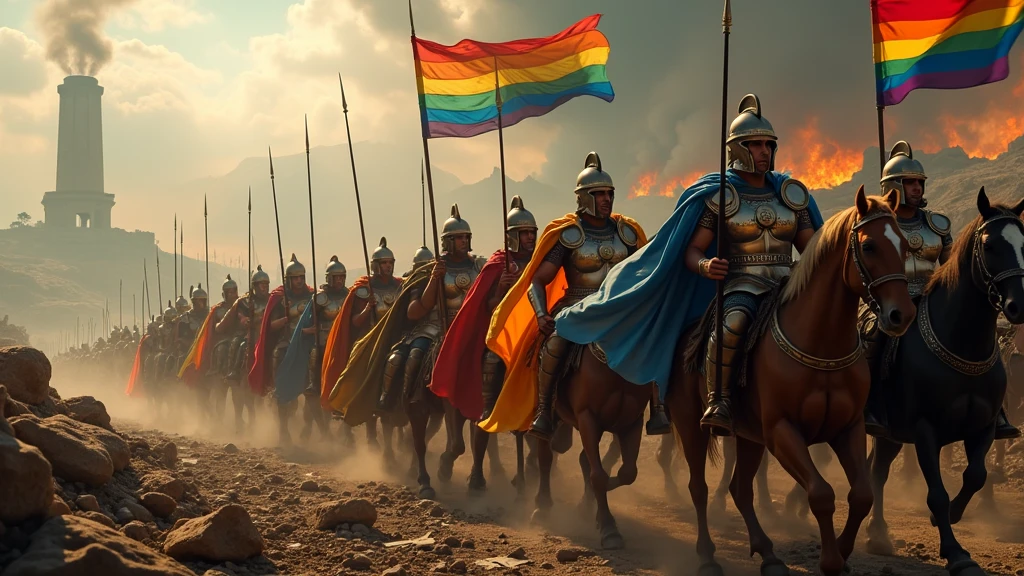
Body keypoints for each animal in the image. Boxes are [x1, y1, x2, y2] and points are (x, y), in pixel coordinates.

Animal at [667, 184, 917, 573]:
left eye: (904, 245)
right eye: (869, 246)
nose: (901, 315)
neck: (821, 343)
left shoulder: (849, 428)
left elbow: (861, 495)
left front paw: (843, 552)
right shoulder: (782, 431)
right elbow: (821, 493)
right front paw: (830, 560)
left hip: (748, 435)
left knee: (740, 489)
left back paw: (768, 553)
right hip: (690, 423)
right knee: (699, 487)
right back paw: (707, 555)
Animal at [864, 186, 1024, 569]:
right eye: (991, 246)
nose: (1018, 306)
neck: (962, 342)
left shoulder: (984, 426)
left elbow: (976, 476)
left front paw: (951, 515)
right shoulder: (926, 430)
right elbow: (935, 493)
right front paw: (955, 552)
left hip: (891, 434)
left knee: (877, 470)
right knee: (874, 472)